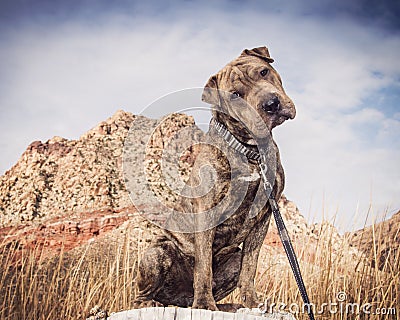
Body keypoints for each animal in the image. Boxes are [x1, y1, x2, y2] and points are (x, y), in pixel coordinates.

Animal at [133, 46, 296, 312]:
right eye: (236, 95)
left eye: (264, 72)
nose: (271, 104)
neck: (249, 149)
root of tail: (179, 301)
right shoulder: (206, 210)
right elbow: (203, 268)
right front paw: (205, 304)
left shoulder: (263, 216)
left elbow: (249, 268)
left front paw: (252, 303)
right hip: (157, 253)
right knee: (143, 293)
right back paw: (155, 303)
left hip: (233, 258)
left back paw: (227, 306)